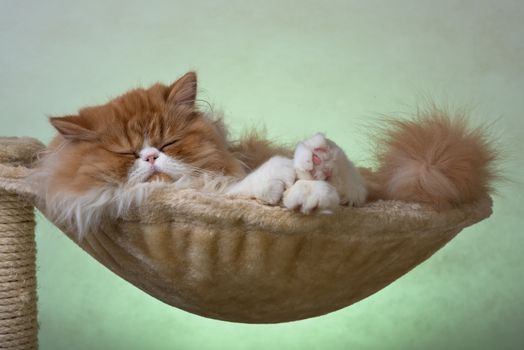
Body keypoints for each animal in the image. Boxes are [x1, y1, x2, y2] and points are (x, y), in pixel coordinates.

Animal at [31, 72, 368, 239]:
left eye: (168, 143)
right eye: (127, 152)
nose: (150, 157)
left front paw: (304, 181)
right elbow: (239, 188)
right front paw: (281, 179)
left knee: (358, 189)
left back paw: (319, 161)